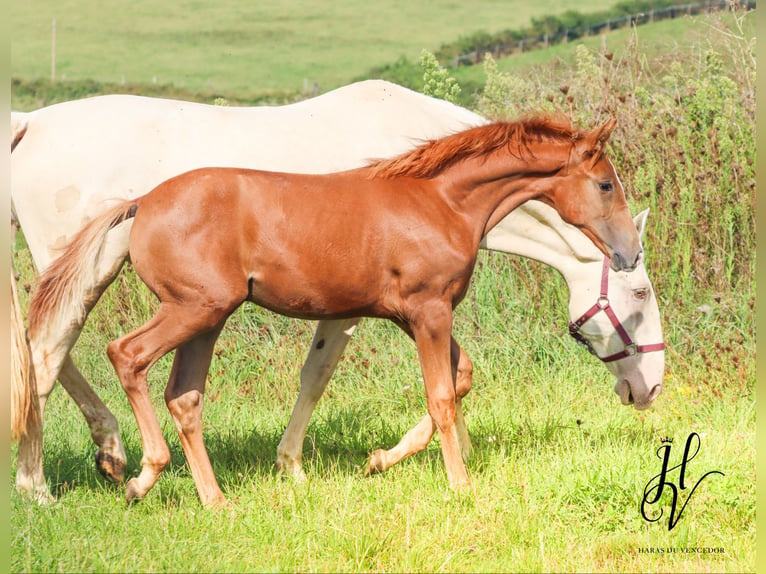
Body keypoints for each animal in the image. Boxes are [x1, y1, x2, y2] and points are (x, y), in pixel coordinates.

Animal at [9, 79, 664, 502]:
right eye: (606, 184)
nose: (649, 390)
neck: (438, 200)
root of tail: (143, 202)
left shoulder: (413, 314)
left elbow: (458, 379)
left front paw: (381, 460)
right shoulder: (424, 312)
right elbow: (435, 394)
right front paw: (459, 484)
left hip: (205, 316)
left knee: (180, 395)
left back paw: (210, 499)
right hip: (185, 307)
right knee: (99, 355)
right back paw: (109, 477)